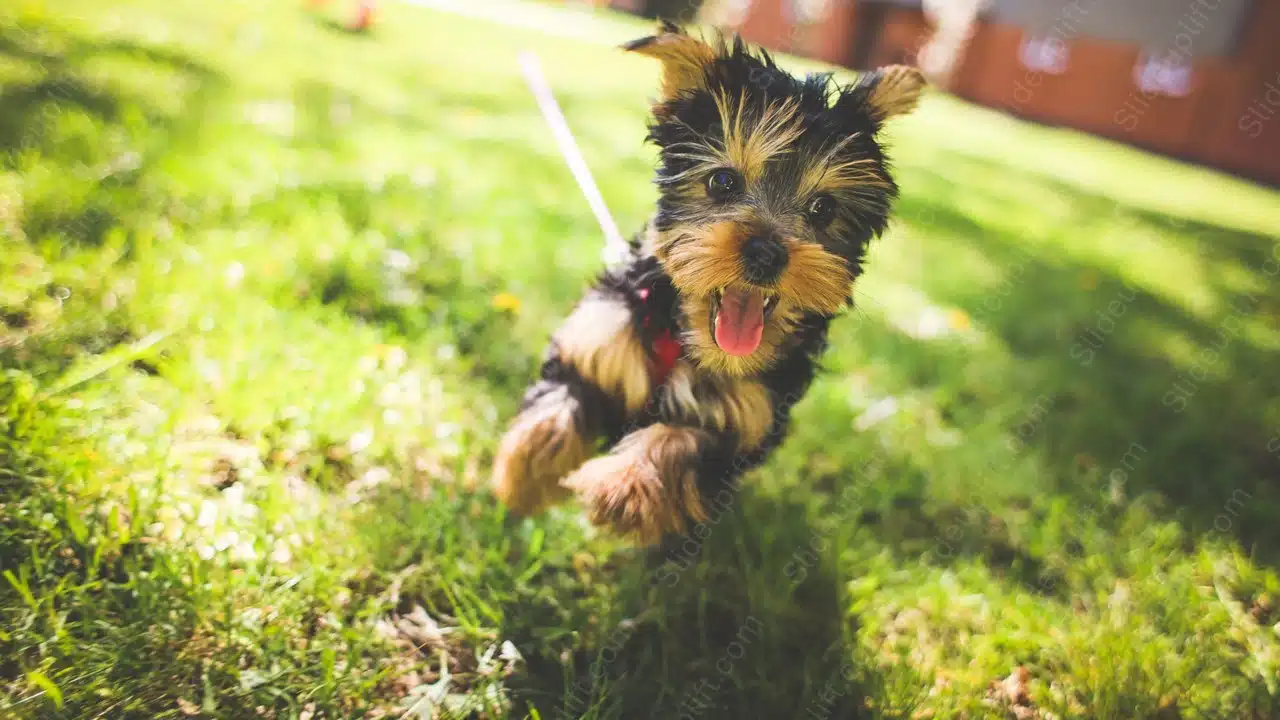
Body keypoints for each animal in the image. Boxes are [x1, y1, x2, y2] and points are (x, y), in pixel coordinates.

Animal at [486, 22, 921, 543]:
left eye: (823, 209)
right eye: (722, 183)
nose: (766, 253)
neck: (684, 339)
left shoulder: (742, 416)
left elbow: (679, 442)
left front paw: (623, 488)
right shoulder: (602, 337)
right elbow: (557, 403)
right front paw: (523, 480)